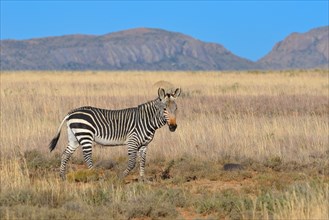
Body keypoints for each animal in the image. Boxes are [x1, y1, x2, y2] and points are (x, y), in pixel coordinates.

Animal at [48, 87, 181, 180]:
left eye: (176, 108)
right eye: (164, 109)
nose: (173, 127)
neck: (146, 120)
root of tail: (71, 113)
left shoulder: (144, 145)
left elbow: (143, 162)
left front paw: (143, 180)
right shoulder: (132, 141)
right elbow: (132, 163)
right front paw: (121, 177)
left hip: (74, 138)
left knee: (65, 155)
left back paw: (62, 176)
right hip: (85, 135)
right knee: (87, 157)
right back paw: (96, 176)